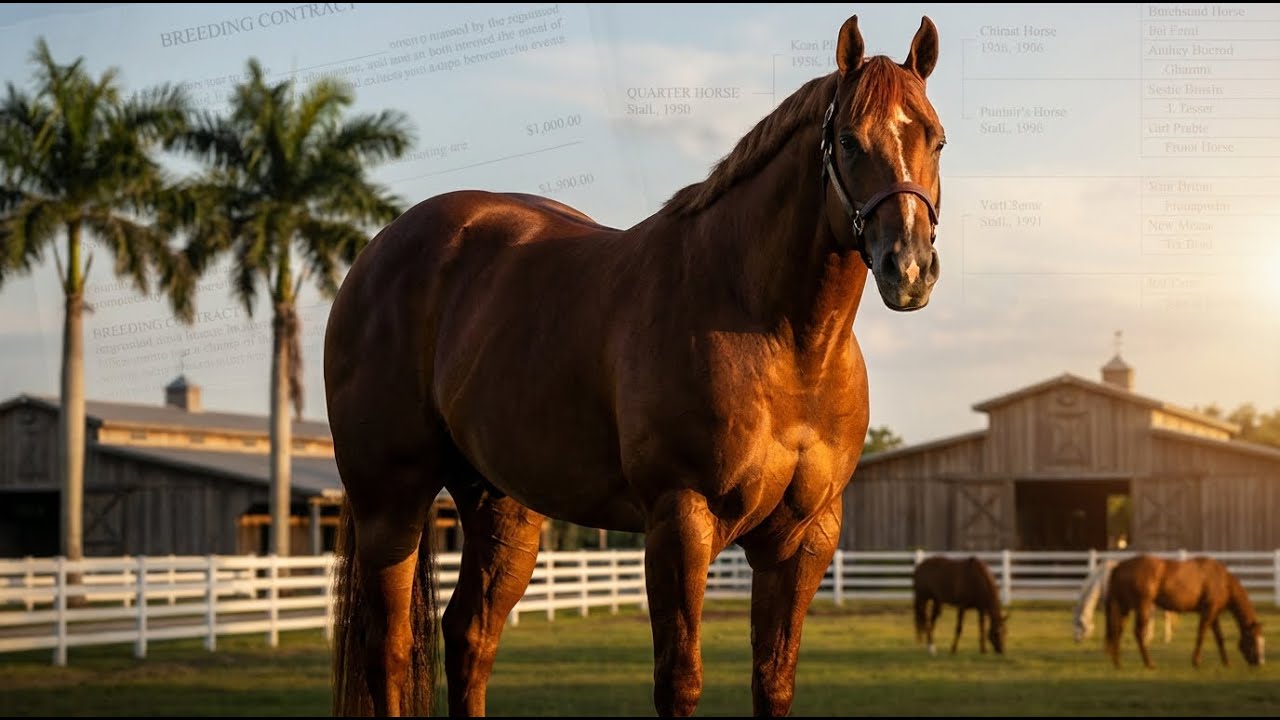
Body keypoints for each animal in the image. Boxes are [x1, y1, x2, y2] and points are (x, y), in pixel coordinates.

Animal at [324, 13, 946, 717]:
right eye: (848, 140)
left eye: (936, 140)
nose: (909, 267)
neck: (783, 341)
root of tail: (377, 254)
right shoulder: (680, 521)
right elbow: (679, 679)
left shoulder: (803, 539)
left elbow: (774, 679)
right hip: (389, 501)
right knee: (391, 650)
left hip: (502, 509)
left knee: (468, 637)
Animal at [1104, 554, 1265, 669]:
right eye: (1253, 639)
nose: (1259, 662)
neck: (1223, 581)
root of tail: (1120, 567)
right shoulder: (1208, 612)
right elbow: (1201, 635)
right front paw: (1196, 662)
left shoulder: (1214, 614)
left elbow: (1219, 638)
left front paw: (1226, 662)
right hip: (1142, 606)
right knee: (1137, 633)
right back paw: (1149, 664)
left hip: (1125, 607)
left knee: (1117, 630)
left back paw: (1118, 664)